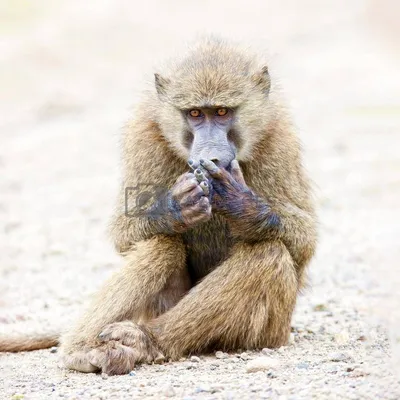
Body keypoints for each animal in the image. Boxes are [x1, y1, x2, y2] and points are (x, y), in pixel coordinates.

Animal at [0, 36, 318, 376]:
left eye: (222, 112)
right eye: (195, 113)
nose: (210, 156)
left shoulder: (280, 139)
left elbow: (305, 239)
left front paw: (241, 204)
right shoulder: (143, 136)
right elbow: (124, 232)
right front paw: (175, 209)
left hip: (267, 333)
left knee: (268, 252)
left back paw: (149, 340)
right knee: (161, 244)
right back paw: (81, 351)